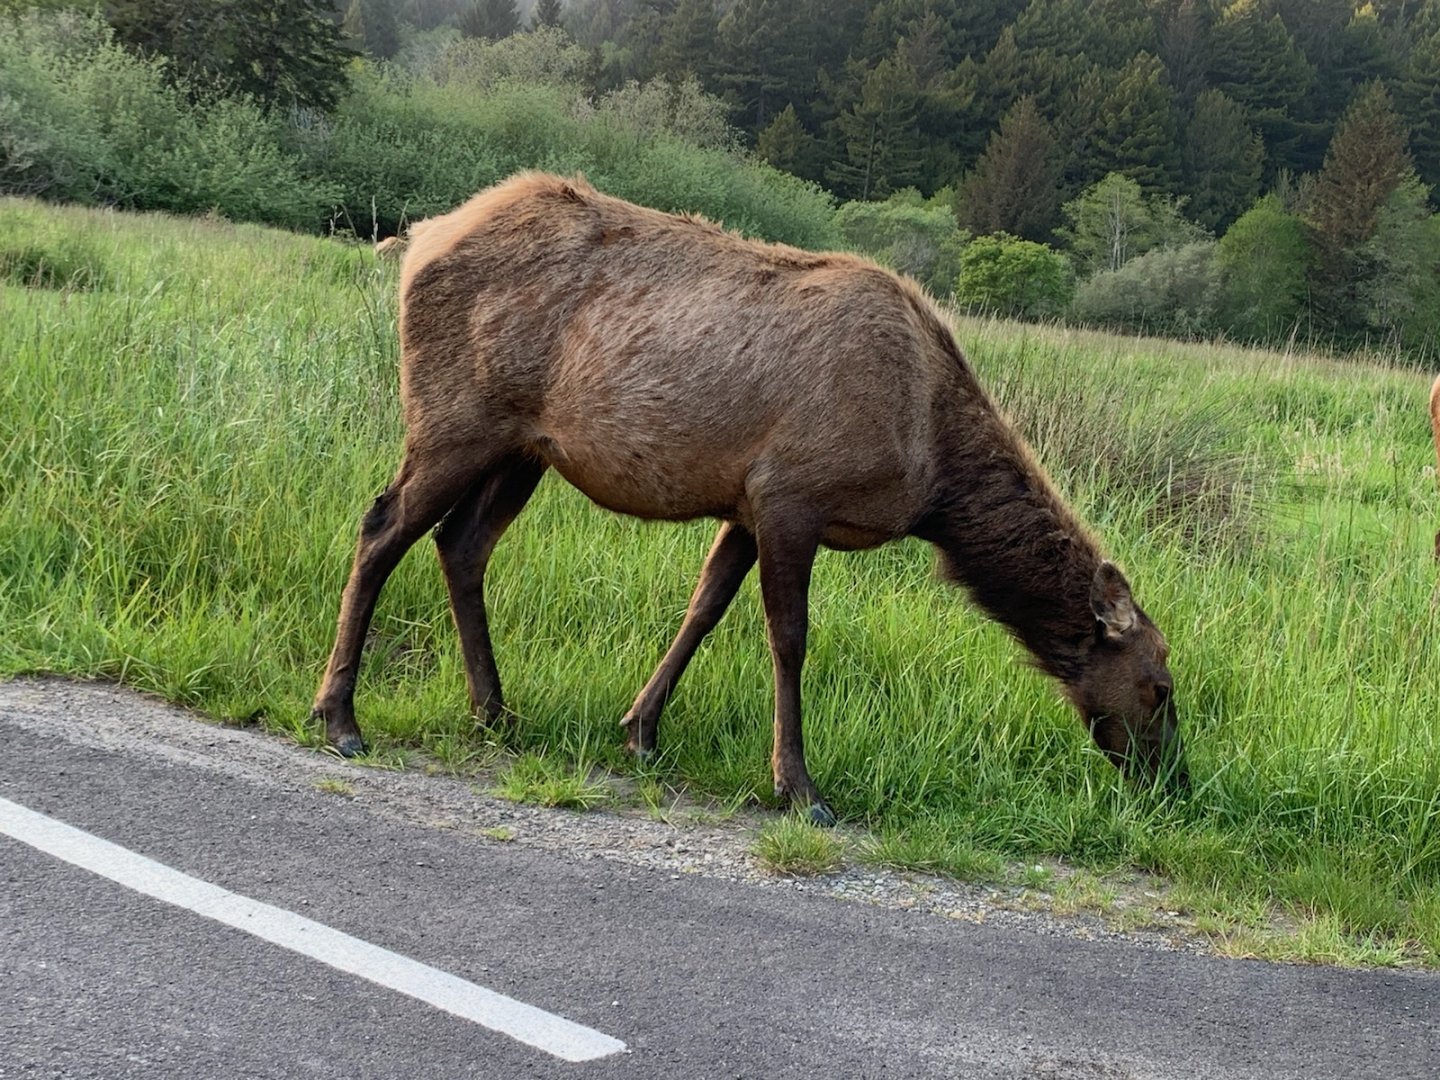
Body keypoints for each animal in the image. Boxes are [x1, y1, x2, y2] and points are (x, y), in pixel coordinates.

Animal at [312, 172, 1186, 825]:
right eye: (1161, 685)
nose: (1174, 783)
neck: (932, 475)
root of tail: (418, 235)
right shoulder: (792, 494)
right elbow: (788, 639)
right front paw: (798, 786)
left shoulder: (743, 504)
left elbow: (703, 609)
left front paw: (641, 731)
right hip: (455, 418)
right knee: (383, 526)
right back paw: (340, 715)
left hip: (523, 448)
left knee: (461, 546)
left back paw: (494, 710)